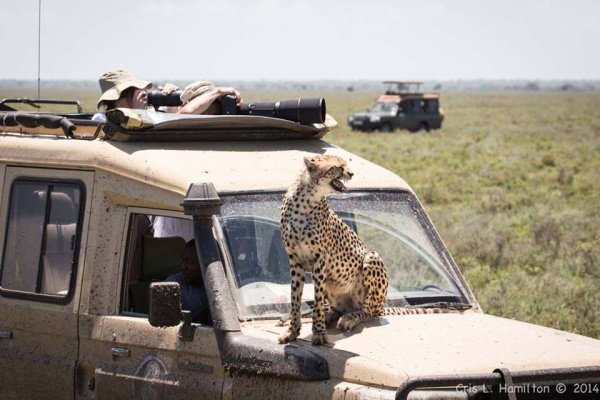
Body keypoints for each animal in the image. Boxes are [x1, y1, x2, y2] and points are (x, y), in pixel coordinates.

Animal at [278, 155, 448, 346]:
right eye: (338, 167)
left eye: (346, 164)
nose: (351, 173)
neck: (306, 201)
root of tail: (382, 306)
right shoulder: (295, 260)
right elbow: (295, 298)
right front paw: (292, 331)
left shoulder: (320, 261)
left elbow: (318, 299)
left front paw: (319, 332)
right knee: (338, 308)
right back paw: (331, 314)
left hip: (371, 259)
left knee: (369, 311)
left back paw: (349, 318)